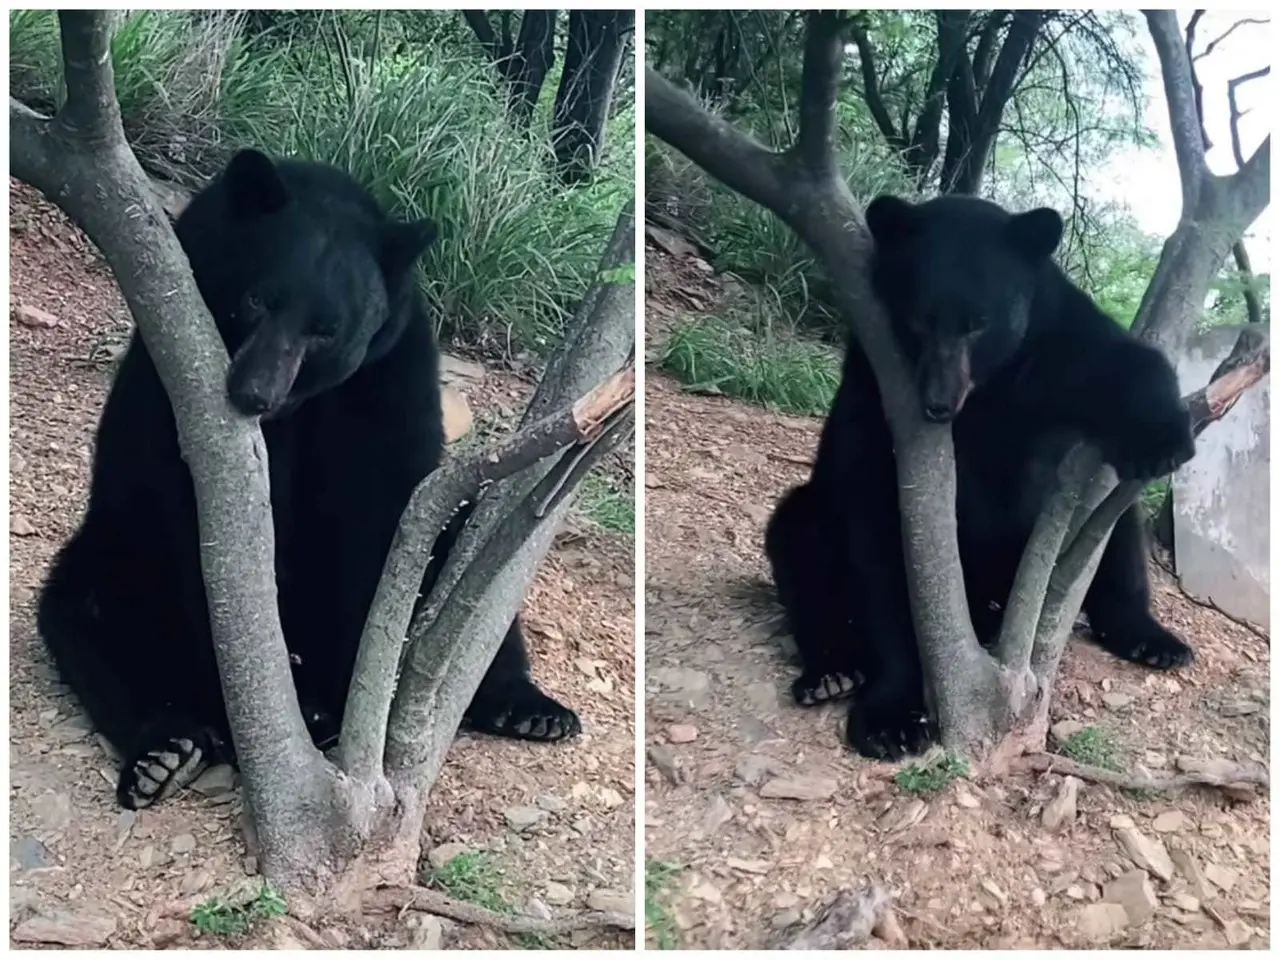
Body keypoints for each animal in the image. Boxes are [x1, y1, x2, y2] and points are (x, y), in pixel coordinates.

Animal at [38, 150, 581, 814]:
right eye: (256, 298)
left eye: (328, 330)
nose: (255, 392)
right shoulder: (170, 372)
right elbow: (195, 517)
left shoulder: (387, 376)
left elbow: (379, 517)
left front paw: (345, 697)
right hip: (117, 553)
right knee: (94, 614)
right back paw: (166, 750)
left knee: (466, 568)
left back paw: (527, 707)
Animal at [768, 195, 1198, 762]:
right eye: (917, 320)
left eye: (979, 323)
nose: (937, 402)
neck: (988, 392)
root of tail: (990, 609)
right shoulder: (874, 391)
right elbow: (877, 543)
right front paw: (891, 719)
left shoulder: (1051, 341)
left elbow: (1120, 358)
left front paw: (1163, 437)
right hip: (816, 520)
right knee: (800, 537)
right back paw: (831, 672)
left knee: (1119, 535)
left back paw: (1153, 639)